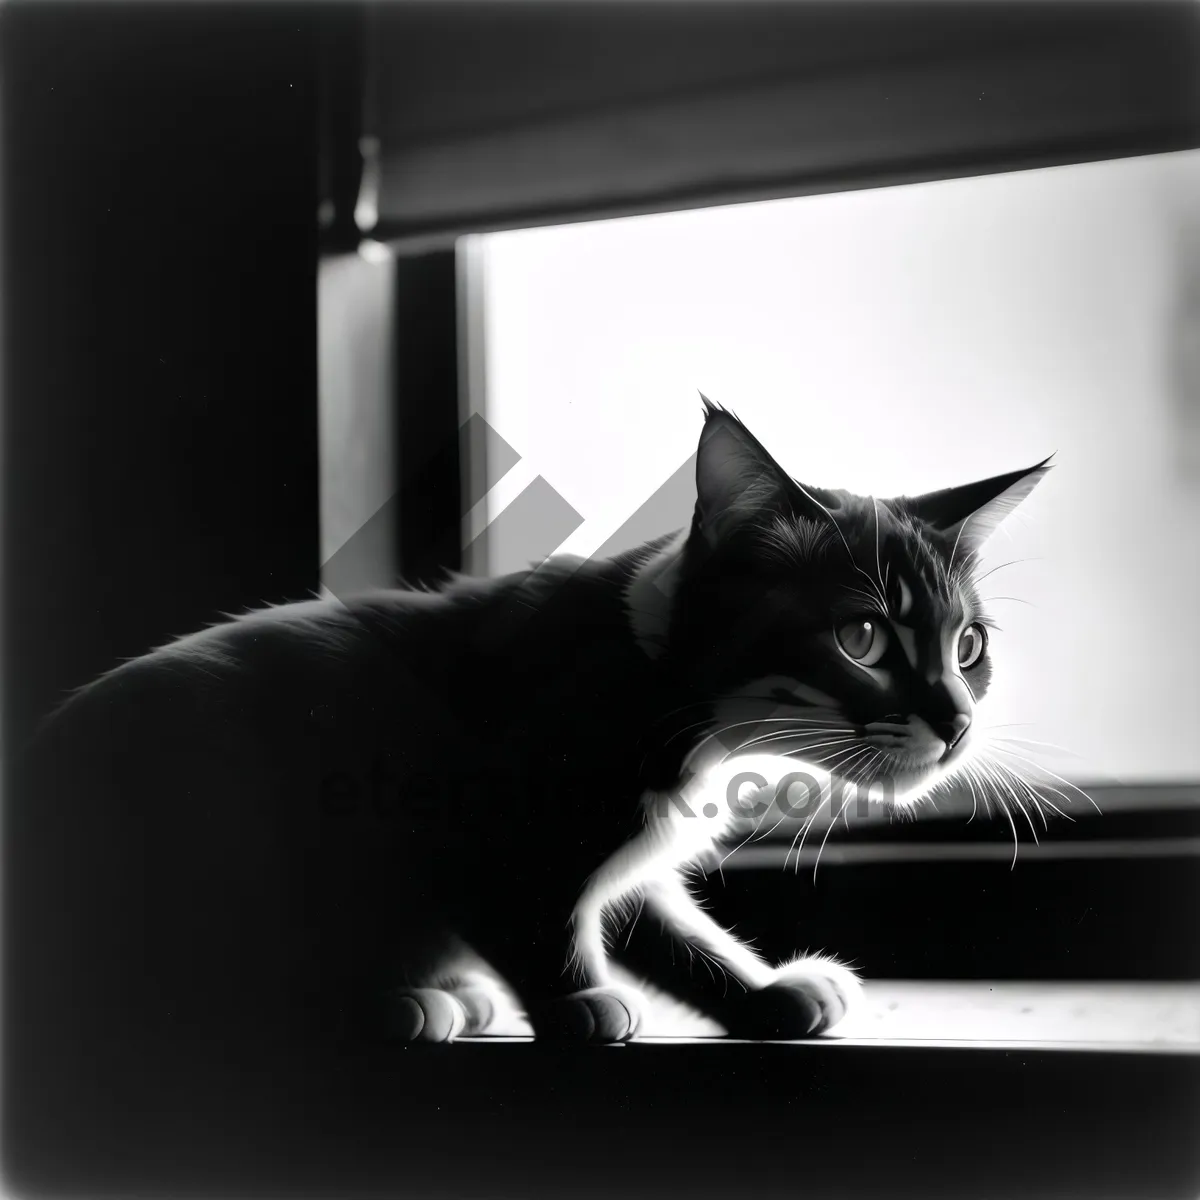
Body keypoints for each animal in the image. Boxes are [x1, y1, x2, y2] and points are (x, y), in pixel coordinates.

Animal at [16, 396, 1051, 1051]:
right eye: (862, 637)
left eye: (967, 646)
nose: (956, 722)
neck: (668, 692)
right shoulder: (468, 810)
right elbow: (525, 904)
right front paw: (575, 999)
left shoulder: (631, 844)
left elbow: (657, 920)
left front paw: (758, 993)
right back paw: (398, 1001)